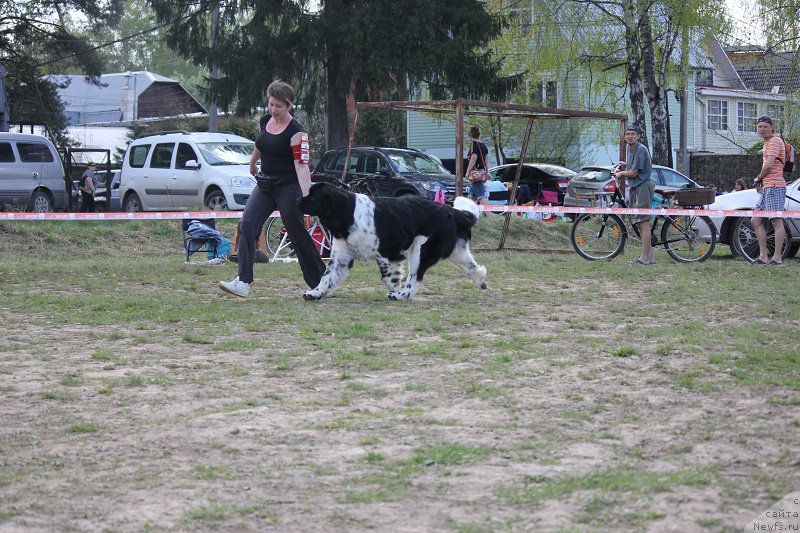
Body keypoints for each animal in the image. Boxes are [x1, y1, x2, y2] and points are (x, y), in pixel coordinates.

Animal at [298, 182, 488, 300]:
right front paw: (314, 293)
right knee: (474, 267)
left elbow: (388, 277)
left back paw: (401, 295)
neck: (348, 212)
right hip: (454, 252)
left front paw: (395, 290)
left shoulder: (387, 253)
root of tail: (453, 211)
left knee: (415, 278)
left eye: (312, 196)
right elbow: (326, 277)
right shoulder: (341, 256)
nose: (297, 200)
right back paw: (480, 281)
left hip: (420, 250)